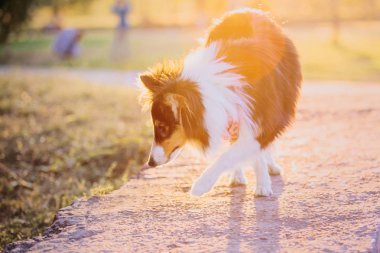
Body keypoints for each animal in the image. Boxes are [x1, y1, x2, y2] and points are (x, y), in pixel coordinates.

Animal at [138, 7, 302, 197]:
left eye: (163, 127)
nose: (150, 163)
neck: (215, 91)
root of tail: (246, 9)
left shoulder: (263, 118)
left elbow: (232, 154)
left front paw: (201, 185)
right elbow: (245, 153)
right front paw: (254, 180)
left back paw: (271, 167)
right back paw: (238, 176)